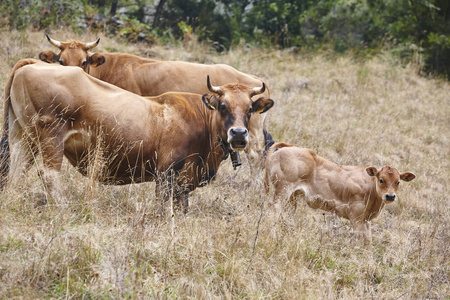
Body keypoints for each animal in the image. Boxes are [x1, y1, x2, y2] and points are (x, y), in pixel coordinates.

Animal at [0, 60, 274, 211]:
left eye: (249, 109)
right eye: (223, 106)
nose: (238, 133)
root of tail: (32, 65)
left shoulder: (183, 181)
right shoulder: (166, 173)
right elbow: (163, 207)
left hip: (23, 138)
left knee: (16, 173)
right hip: (50, 139)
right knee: (48, 175)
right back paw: (64, 209)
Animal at [266, 142, 416, 243]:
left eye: (398, 182)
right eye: (381, 180)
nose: (390, 196)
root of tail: (287, 147)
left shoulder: (366, 220)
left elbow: (368, 241)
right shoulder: (356, 217)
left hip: (292, 196)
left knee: (288, 214)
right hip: (282, 190)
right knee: (274, 209)